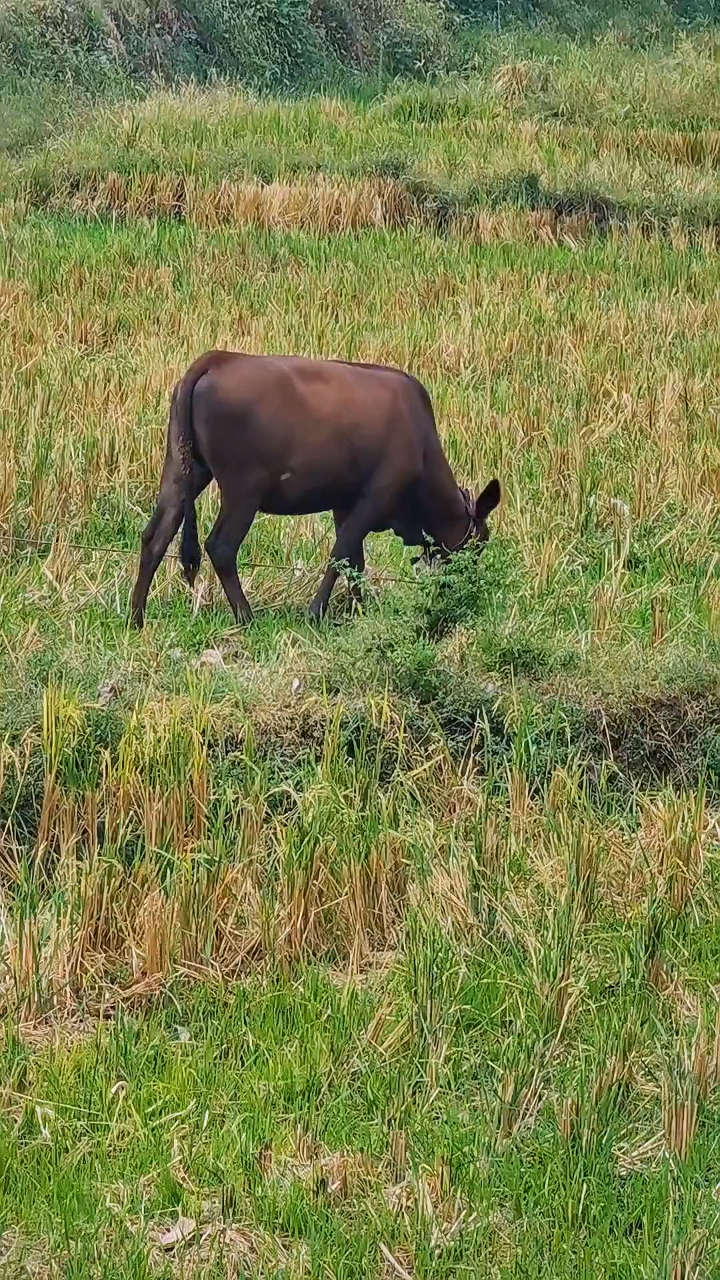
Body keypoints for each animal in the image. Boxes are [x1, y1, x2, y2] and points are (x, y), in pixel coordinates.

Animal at [130, 350, 499, 629]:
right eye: (479, 544)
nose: (467, 593)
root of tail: (217, 358)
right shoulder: (379, 493)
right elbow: (341, 554)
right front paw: (316, 612)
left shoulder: (343, 502)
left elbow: (354, 560)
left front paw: (357, 611)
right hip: (243, 489)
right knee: (220, 546)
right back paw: (246, 617)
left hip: (182, 471)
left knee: (155, 535)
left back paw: (137, 617)